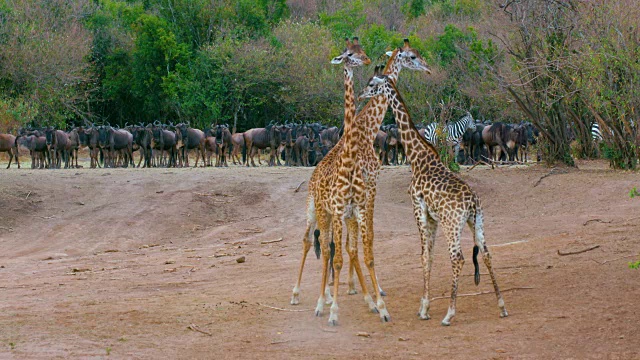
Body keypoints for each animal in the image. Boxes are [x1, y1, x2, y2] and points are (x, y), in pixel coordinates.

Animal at [358, 67, 508, 326]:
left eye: (371, 84)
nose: (361, 95)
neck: (417, 156)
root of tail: (472, 203)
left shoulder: (418, 208)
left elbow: (424, 255)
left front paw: (425, 309)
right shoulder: (433, 216)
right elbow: (430, 254)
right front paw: (423, 306)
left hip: (453, 223)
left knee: (458, 258)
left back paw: (449, 314)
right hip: (476, 221)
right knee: (486, 253)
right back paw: (501, 306)